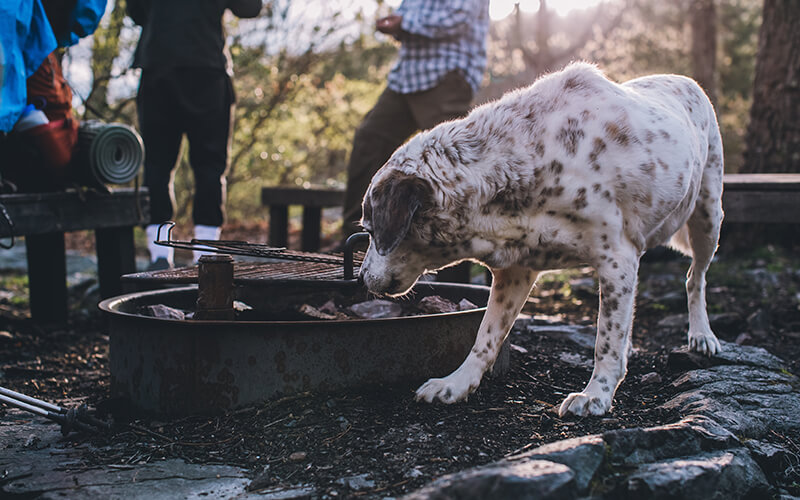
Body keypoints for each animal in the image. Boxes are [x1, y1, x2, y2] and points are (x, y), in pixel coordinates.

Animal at [360, 60, 720, 416]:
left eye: (369, 229)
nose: (361, 277)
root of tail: (683, 79)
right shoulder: (515, 271)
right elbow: (486, 336)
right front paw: (457, 384)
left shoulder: (616, 260)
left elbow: (605, 339)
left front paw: (596, 394)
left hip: (708, 216)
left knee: (695, 277)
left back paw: (702, 334)